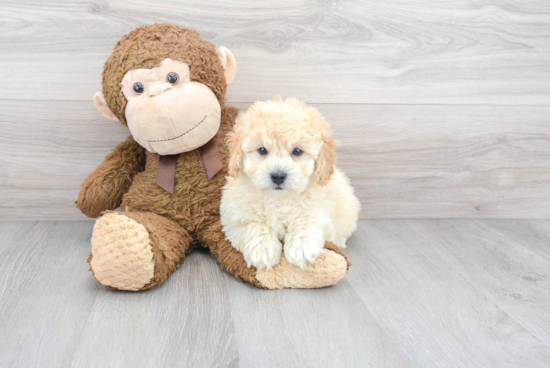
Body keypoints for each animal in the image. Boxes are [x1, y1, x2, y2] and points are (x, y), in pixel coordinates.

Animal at [220, 97, 362, 270]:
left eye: (297, 151)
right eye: (262, 150)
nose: (278, 176)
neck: (278, 199)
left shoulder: (320, 212)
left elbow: (305, 220)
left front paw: (302, 248)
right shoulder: (234, 217)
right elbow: (253, 225)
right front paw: (263, 250)